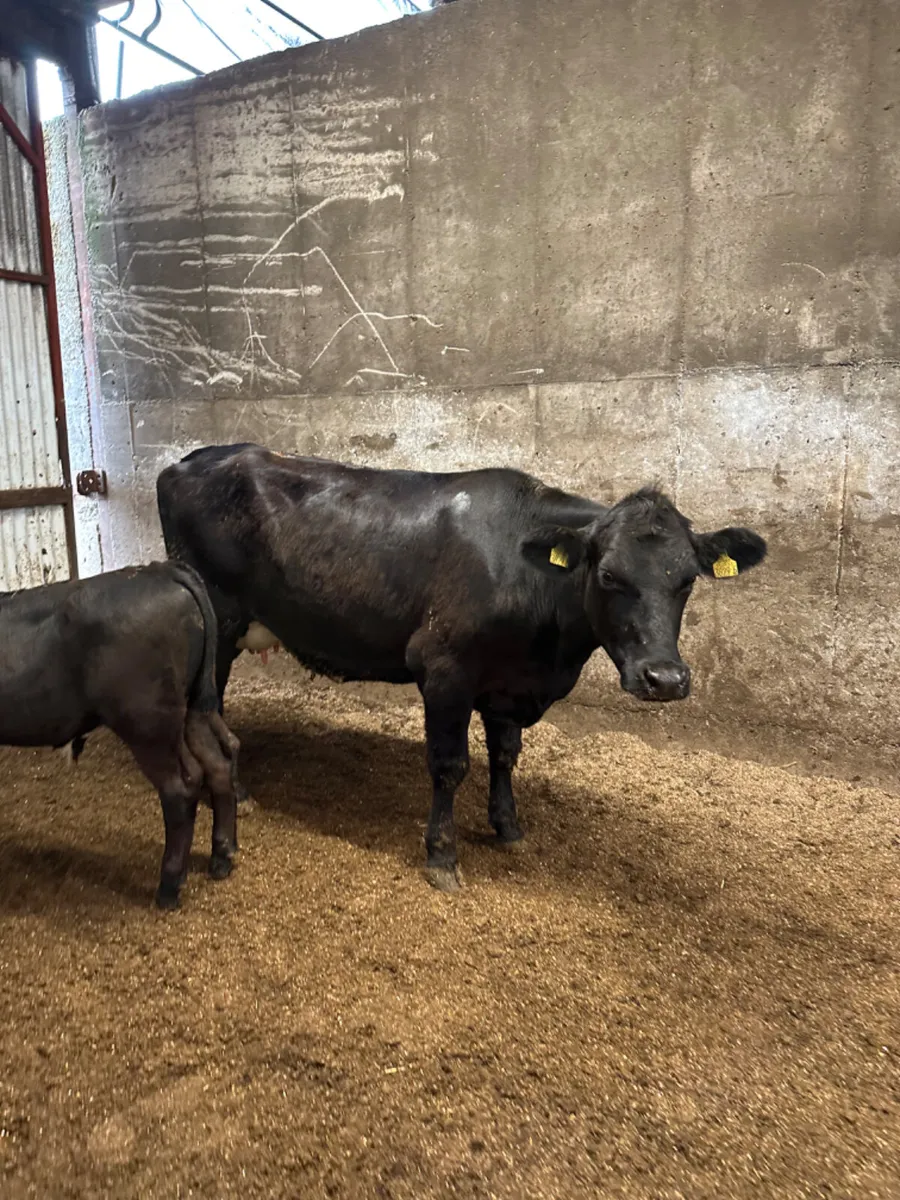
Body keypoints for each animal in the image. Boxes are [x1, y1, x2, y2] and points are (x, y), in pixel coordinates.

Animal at [0, 562, 240, 909]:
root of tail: (160, 570)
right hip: (192, 707)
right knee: (217, 763)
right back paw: (222, 857)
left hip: (146, 723)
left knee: (180, 788)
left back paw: (168, 887)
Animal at [157, 445, 767, 891]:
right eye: (609, 575)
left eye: (687, 578)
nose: (664, 679)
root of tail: (194, 457)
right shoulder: (444, 668)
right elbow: (451, 766)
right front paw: (442, 857)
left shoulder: (510, 683)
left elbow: (505, 755)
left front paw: (509, 826)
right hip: (220, 621)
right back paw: (240, 792)